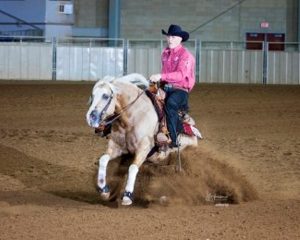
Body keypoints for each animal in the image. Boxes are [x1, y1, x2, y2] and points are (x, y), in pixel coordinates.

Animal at [85, 72, 200, 204]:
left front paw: (127, 196)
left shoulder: (143, 149)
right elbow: (103, 160)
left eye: (105, 96)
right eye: (92, 95)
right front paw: (104, 190)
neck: (133, 117)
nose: (90, 117)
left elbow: (133, 168)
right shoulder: (117, 147)